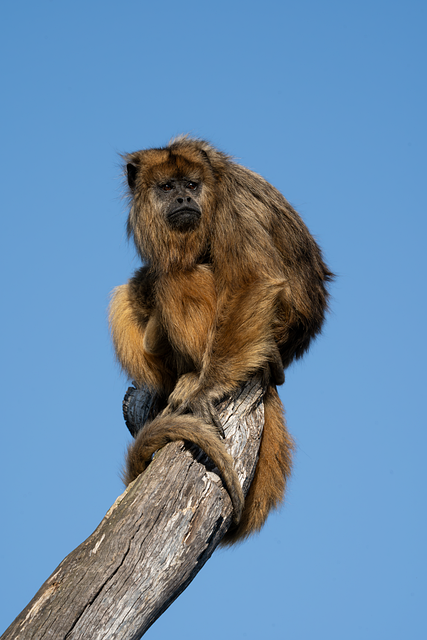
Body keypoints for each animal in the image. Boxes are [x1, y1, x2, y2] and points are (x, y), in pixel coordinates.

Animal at [109, 136, 333, 544]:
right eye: (168, 187)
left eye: (191, 185)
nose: (184, 199)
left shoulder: (231, 204)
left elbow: (253, 279)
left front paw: (206, 390)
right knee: (131, 288)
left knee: (179, 276)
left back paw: (197, 378)